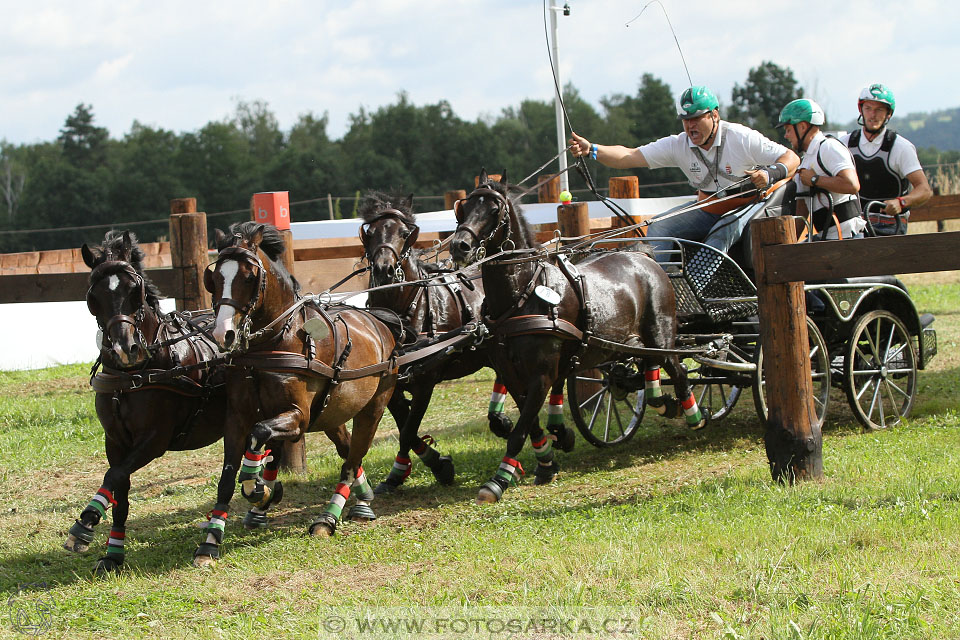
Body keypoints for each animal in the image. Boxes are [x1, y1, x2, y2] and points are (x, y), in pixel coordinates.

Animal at [64, 230, 229, 576]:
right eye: (93, 295)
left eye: (135, 290)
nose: (125, 348)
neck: (133, 375)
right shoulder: (114, 440)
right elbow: (121, 490)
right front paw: (113, 553)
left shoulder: (155, 440)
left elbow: (113, 476)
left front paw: (85, 524)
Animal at [201, 221, 400, 564]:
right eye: (214, 279)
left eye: (249, 276)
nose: (222, 333)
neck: (274, 342)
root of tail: (379, 324)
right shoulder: (237, 417)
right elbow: (228, 478)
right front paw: (211, 541)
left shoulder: (298, 417)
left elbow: (259, 435)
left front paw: (258, 487)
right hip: (333, 413)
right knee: (348, 448)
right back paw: (362, 498)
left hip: (373, 408)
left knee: (351, 460)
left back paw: (328, 517)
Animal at [358, 190, 548, 496]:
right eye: (370, 232)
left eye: (405, 233)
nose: (385, 269)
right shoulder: (391, 384)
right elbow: (406, 427)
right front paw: (416, 468)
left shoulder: (425, 382)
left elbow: (408, 431)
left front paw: (434, 467)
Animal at [450, 170, 704, 504]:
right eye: (463, 208)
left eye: (494, 210)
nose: (460, 246)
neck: (521, 295)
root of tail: (645, 256)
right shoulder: (510, 372)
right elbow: (530, 422)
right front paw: (546, 461)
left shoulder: (541, 374)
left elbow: (520, 429)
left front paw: (498, 480)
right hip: (634, 342)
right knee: (651, 367)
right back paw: (662, 402)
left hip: (660, 334)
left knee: (677, 368)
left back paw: (694, 415)